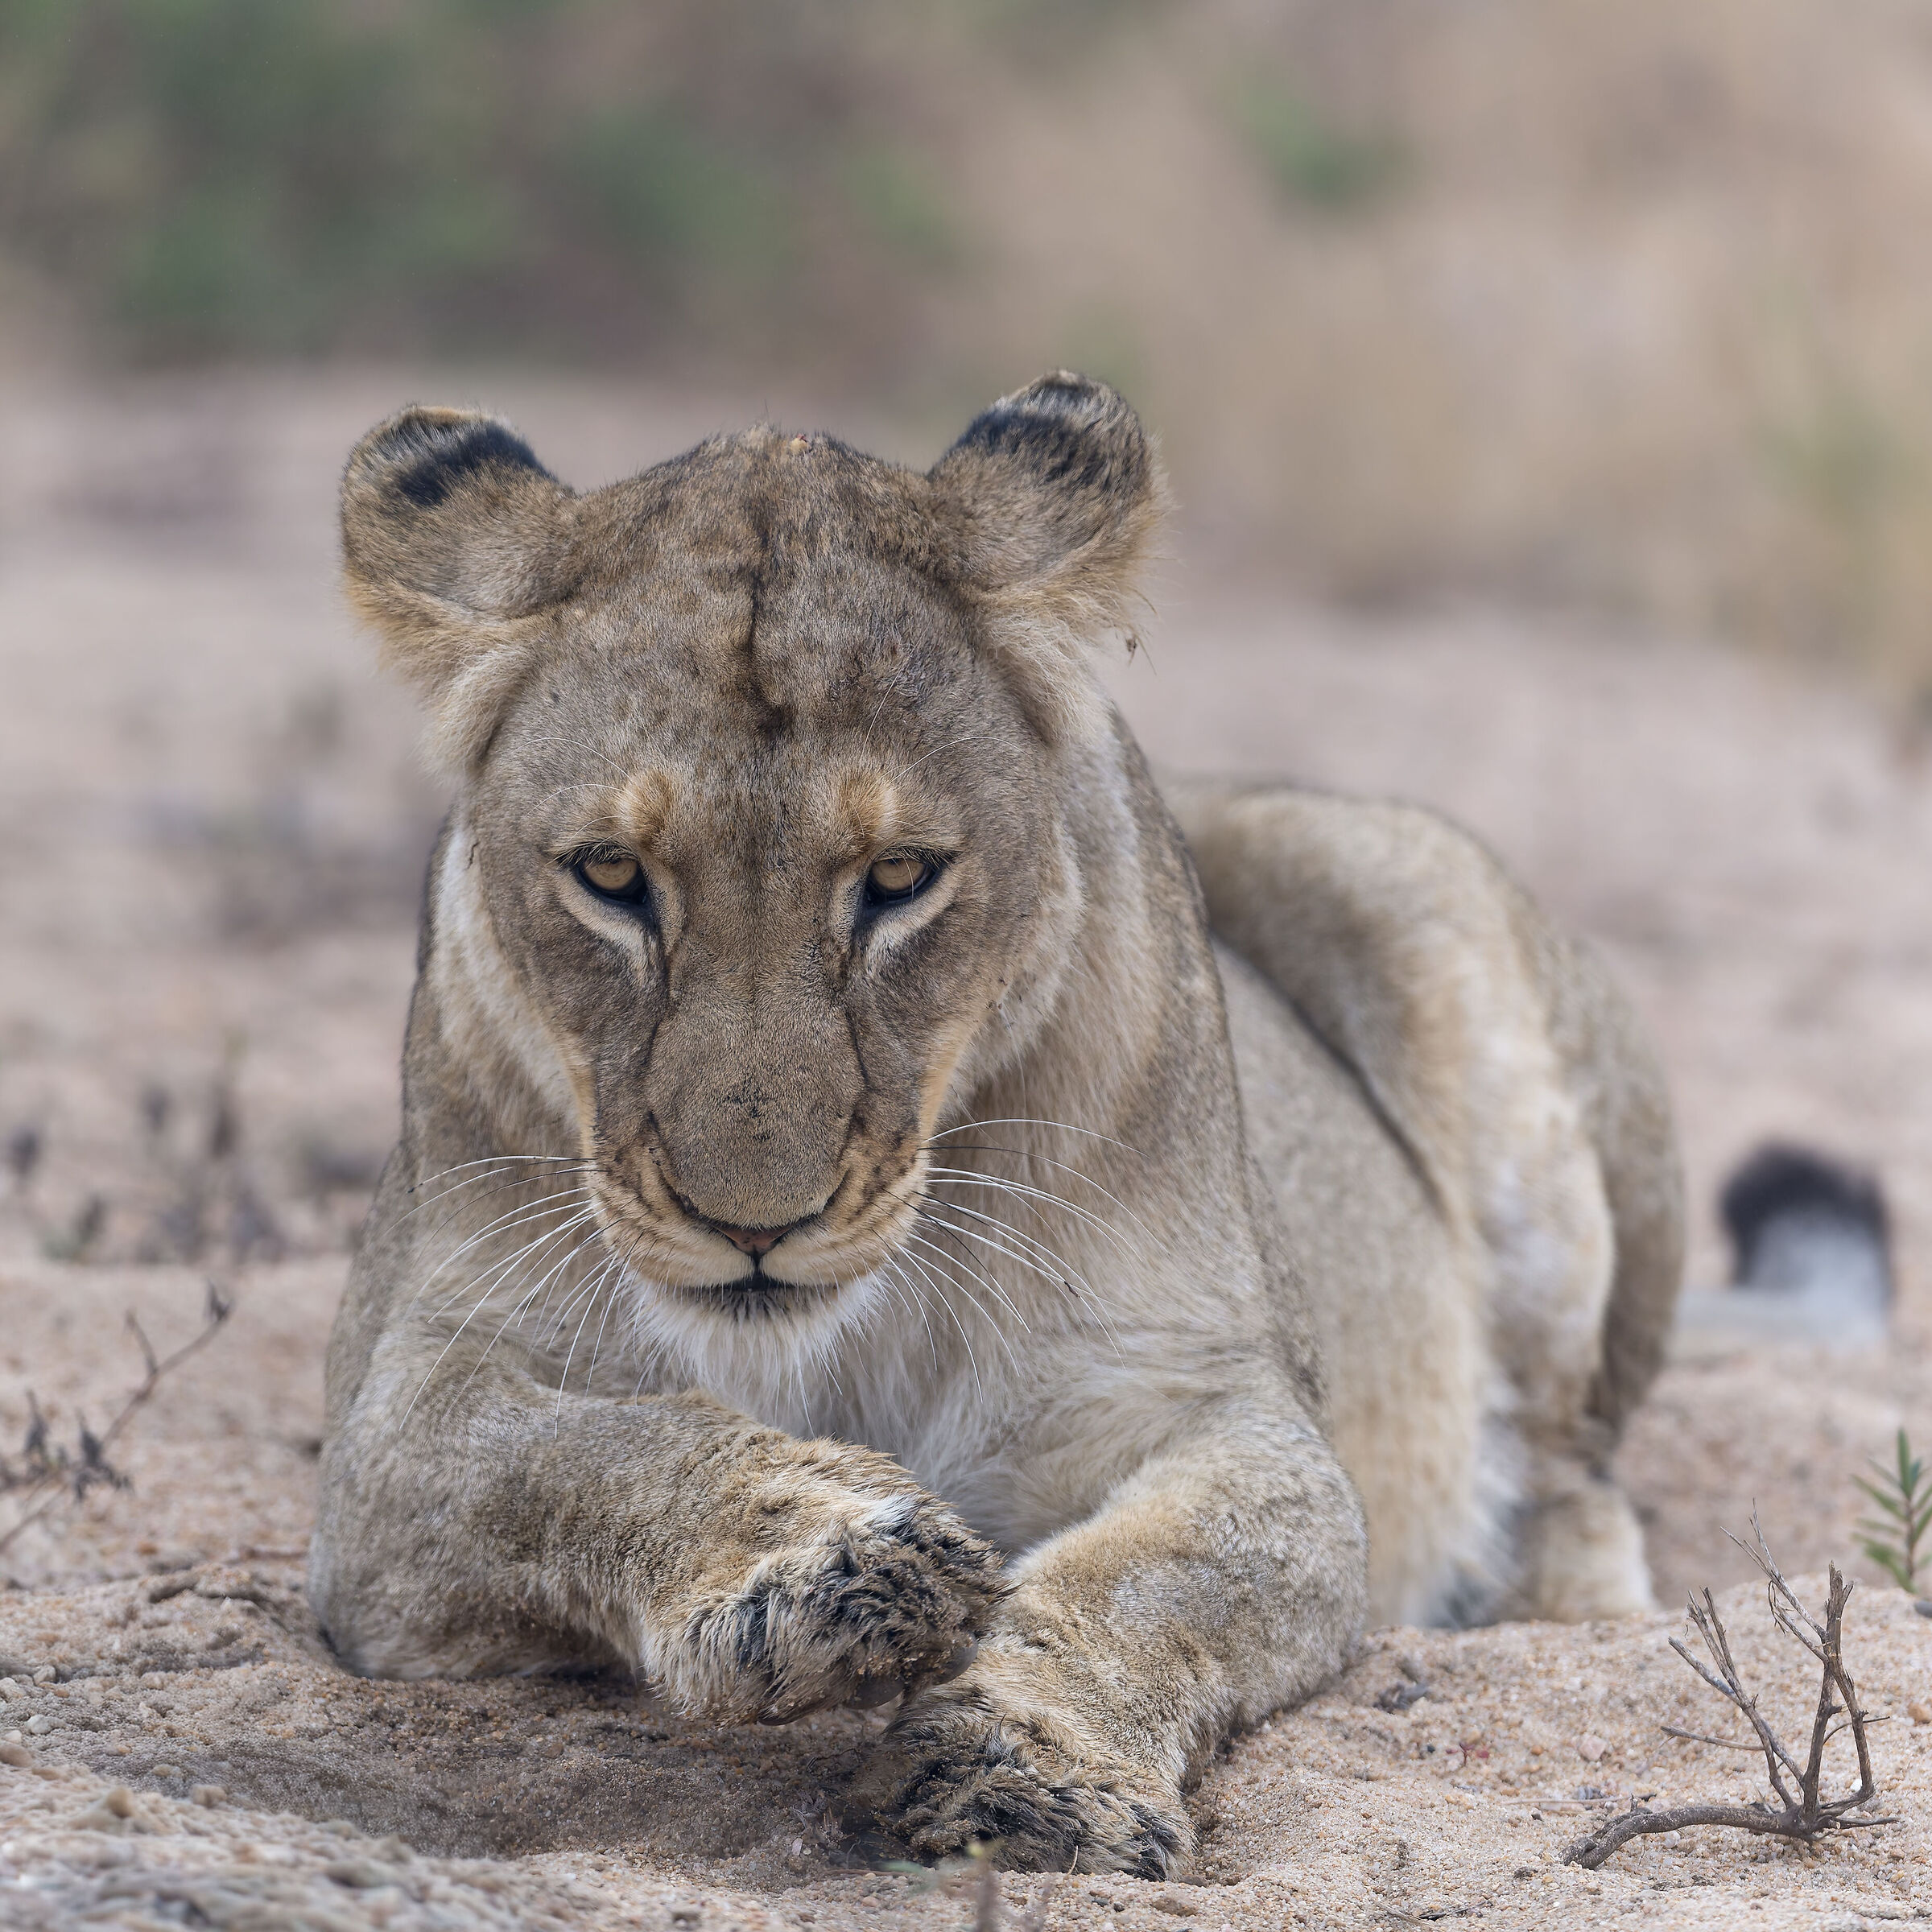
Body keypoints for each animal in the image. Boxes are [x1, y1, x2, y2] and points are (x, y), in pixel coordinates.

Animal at [307, 373, 1683, 1877]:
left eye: (901, 878)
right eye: (611, 877)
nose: (752, 1226)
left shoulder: (1217, 1404)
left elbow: (1154, 1578)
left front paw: (1024, 1769)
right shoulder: (395, 1422)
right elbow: (581, 1460)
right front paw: (827, 1559)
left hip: (1416, 912)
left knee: (1578, 1470)